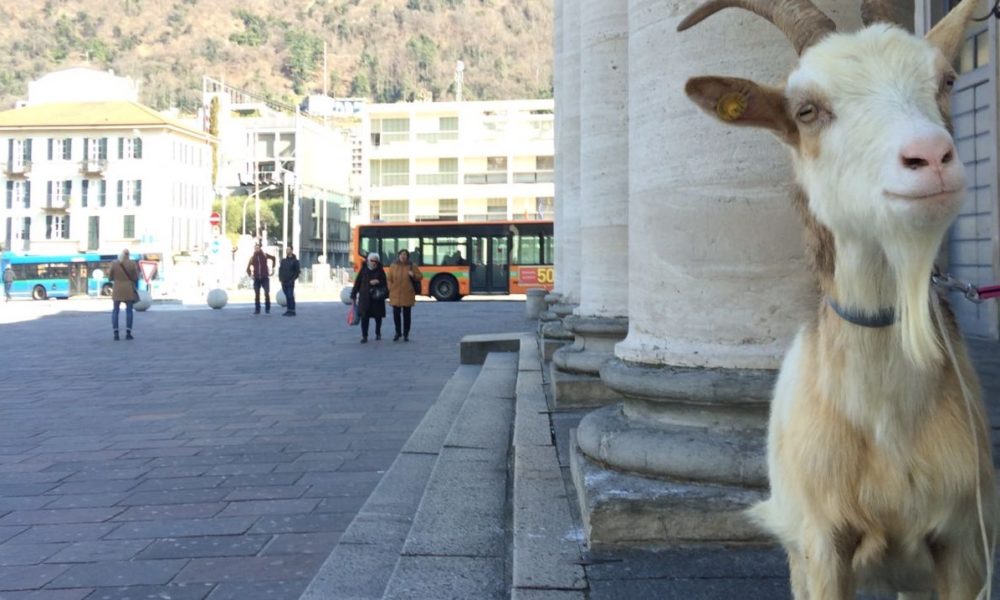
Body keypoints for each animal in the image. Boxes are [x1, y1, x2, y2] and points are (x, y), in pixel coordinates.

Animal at [679, 0, 998, 598]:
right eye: (807, 110)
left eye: (945, 80)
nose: (931, 156)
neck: (886, 419)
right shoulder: (823, 544)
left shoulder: (964, 543)